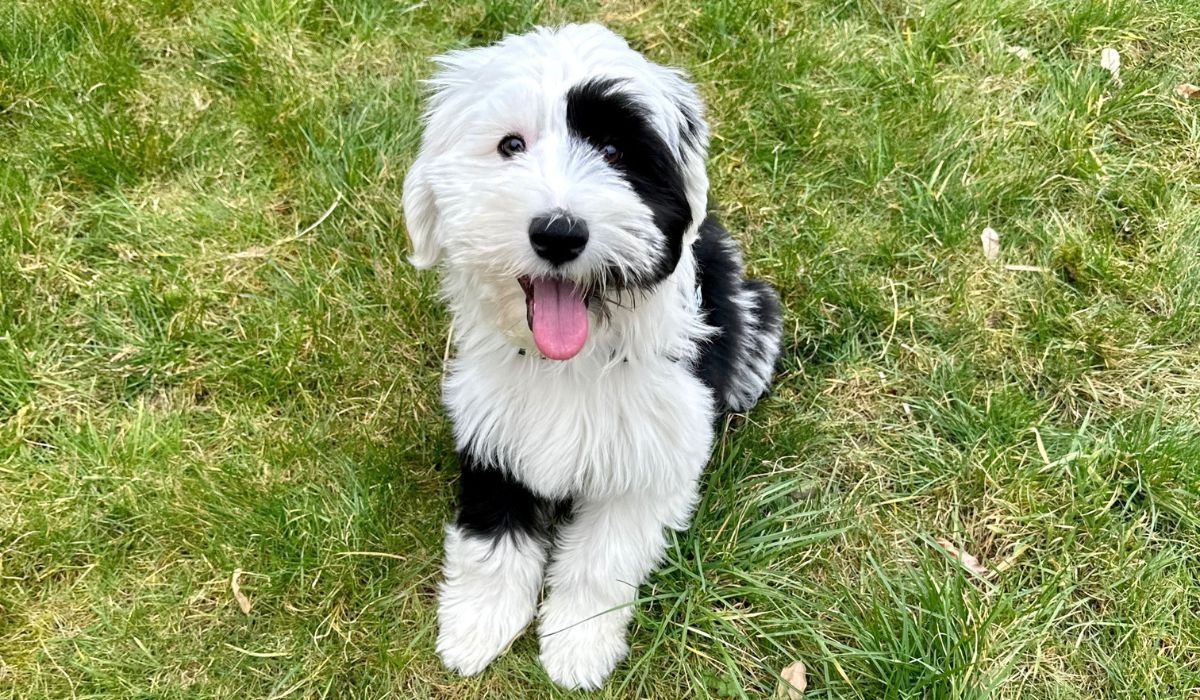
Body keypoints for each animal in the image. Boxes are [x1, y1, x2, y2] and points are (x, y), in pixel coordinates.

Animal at [398, 21, 782, 691]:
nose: (559, 232)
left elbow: (600, 562)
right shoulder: (492, 431)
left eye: (615, 153)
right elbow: (490, 538)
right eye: (511, 145)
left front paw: (577, 645)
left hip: (750, 312)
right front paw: (477, 625)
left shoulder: (651, 461)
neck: (572, 360)